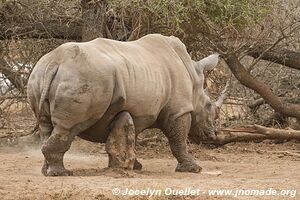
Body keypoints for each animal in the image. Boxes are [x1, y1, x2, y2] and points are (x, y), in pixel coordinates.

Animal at [27, 33, 225, 176]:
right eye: (209, 106)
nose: (212, 135)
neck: (193, 77)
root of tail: (55, 62)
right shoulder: (179, 111)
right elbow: (179, 140)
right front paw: (194, 168)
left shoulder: (137, 111)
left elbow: (132, 136)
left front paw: (135, 166)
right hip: (84, 77)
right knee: (66, 128)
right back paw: (61, 173)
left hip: (38, 75)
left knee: (45, 125)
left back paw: (47, 171)